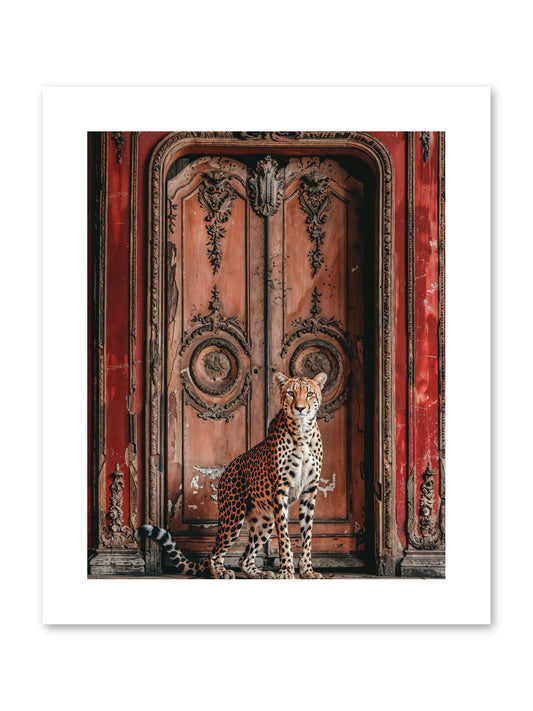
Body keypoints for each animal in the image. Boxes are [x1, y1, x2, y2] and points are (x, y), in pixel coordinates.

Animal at [135, 371, 328, 579]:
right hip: (233, 515)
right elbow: (284, 536)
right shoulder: (280, 491)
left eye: (309, 394)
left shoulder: (309, 491)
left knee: (244, 558)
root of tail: (228, 468)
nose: (300, 408)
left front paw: (307, 571)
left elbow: (307, 536)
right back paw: (222, 571)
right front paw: (286, 571)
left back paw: (260, 573)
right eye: (291, 393)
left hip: (265, 520)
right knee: (216, 554)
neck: (302, 432)